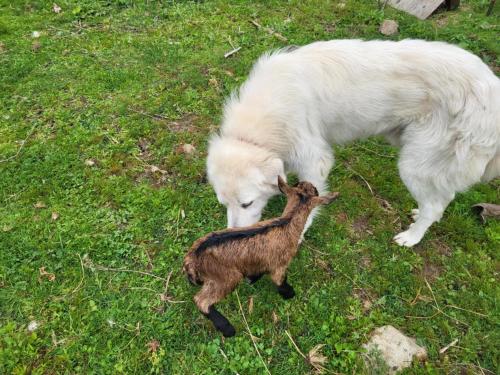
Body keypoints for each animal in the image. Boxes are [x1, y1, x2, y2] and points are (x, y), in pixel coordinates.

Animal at [205, 39, 498, 248]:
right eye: (224, 204)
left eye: (246, 204)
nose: (231, 234)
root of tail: (491, 86)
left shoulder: (315, 159)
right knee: (442, 198)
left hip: (415, 165)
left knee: (436, 204)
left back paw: (411, 237)